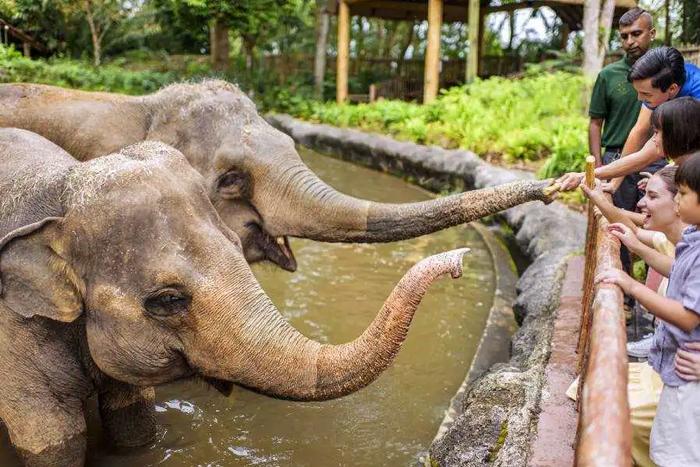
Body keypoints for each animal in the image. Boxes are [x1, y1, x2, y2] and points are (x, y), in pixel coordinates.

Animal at [1, 129, 470, 467]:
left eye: (234, 242)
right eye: (167, 299)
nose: (459, 260)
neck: (59, 193)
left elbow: (133, 423)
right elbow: (52, 439)